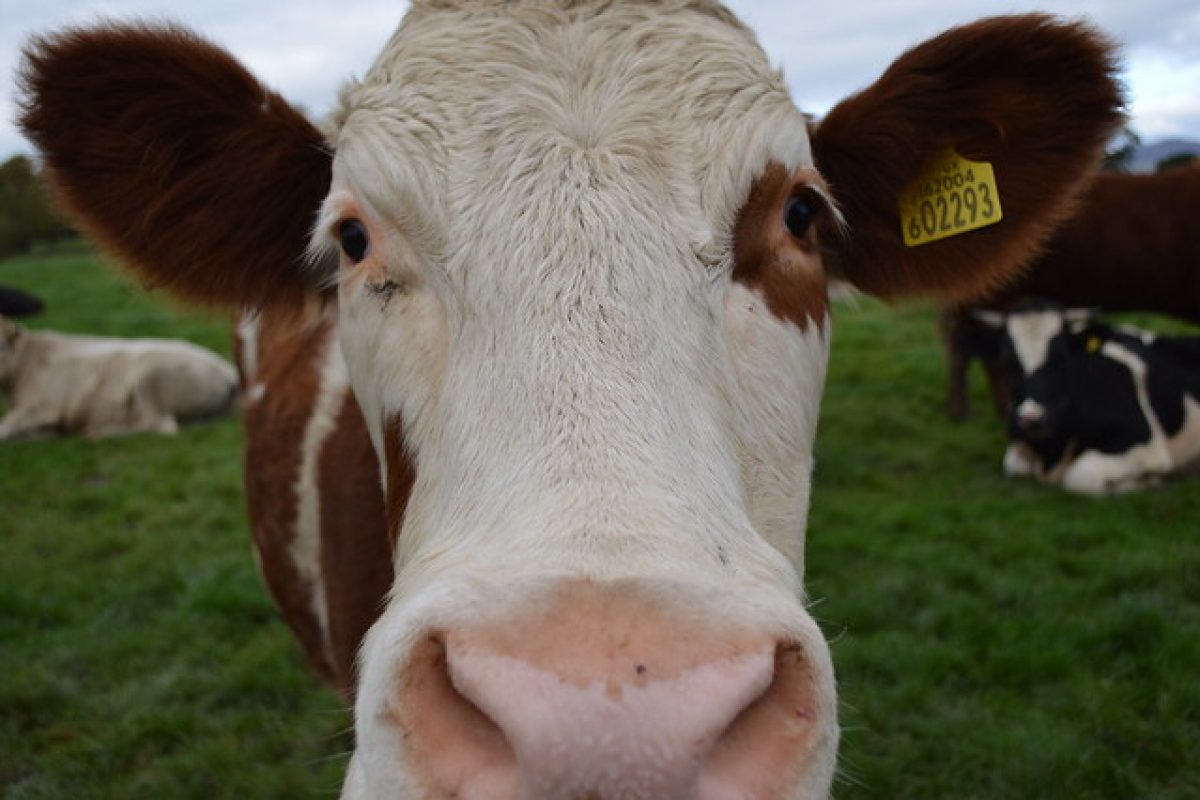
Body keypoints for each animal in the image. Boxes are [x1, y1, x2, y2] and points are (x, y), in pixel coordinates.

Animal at [0, 316, 238, 441]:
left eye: (1, 344)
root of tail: (228, 368)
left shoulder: (41, 406)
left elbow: (3, 429)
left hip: (151, 377)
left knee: (159, 425)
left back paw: (98, 431)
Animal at [979, 299, 1200, 494]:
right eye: (1007, 361)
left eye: (1062, 357)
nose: (1032, 420)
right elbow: (1014, 466)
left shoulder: (1146, 442)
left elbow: (1079, 476)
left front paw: (1150, 481)